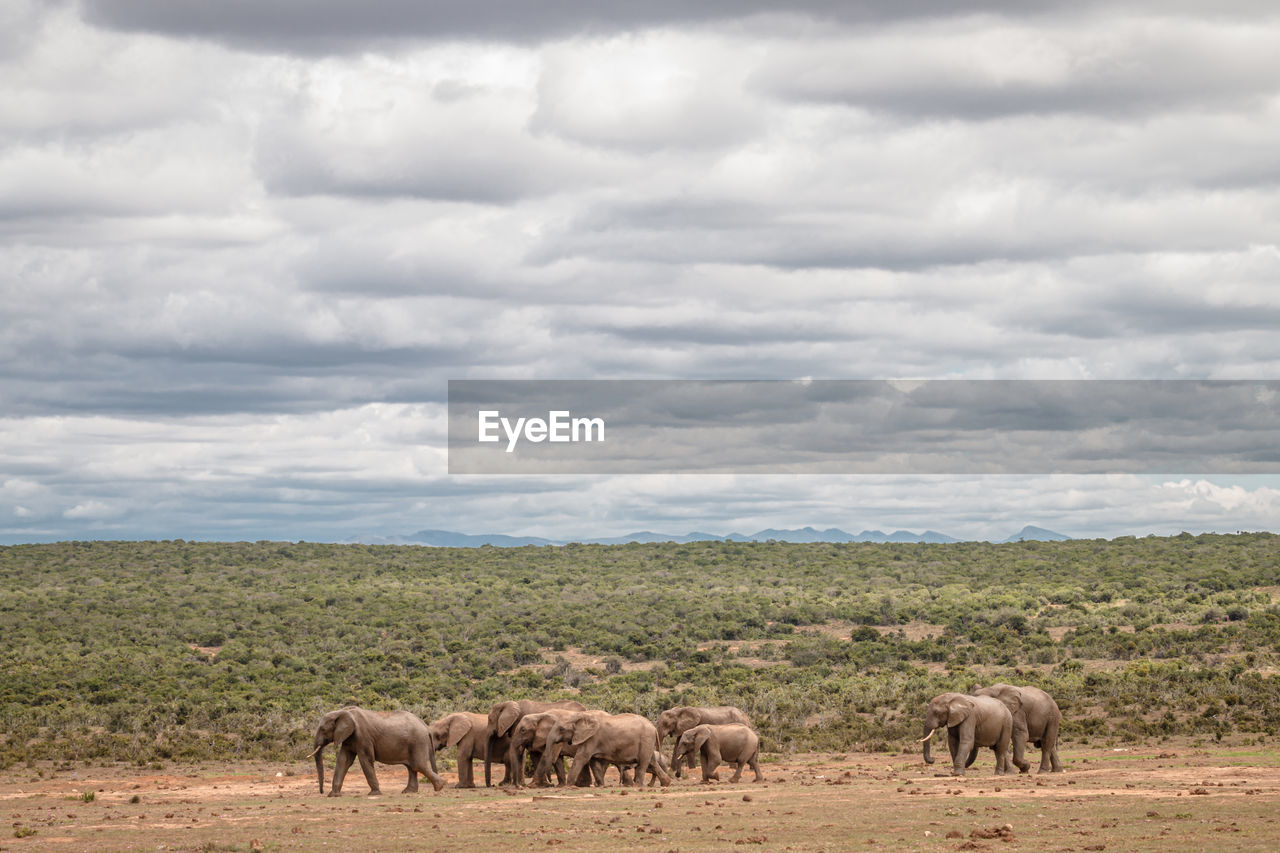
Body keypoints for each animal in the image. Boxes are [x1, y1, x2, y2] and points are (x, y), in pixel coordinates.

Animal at [308, 701, 445, 794]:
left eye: (323, 729)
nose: (322, 792)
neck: (341, 711)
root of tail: (426, 726)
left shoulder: (363, 736)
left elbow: (365, 759)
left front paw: (374, 793)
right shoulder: (348, 737)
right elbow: (343, 760)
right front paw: (333, 795)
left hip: (418, 741)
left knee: (418, 765)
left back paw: (440, 787)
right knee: (412, 767)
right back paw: (409, 792)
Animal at [532, 706, 670, 788]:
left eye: (561, 729)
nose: (550, 783)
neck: (579, 715)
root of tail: (653, 728)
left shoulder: (592, 738)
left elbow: (581, 757)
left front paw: (568, 786)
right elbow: (594, 762)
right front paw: (601, 786)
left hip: (646, 740)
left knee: (643, 763)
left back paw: (638, 786)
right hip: (648, 743)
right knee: (652, 762)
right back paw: (666, 783)